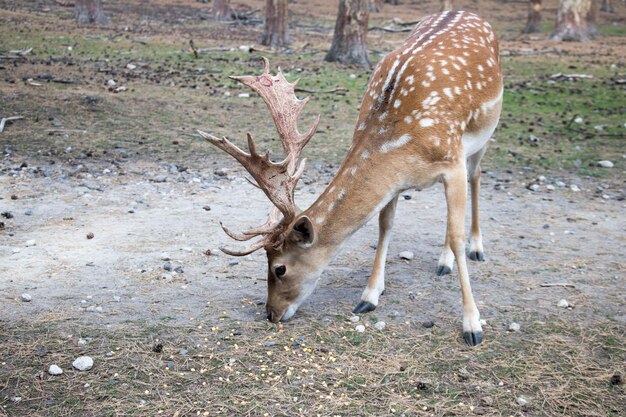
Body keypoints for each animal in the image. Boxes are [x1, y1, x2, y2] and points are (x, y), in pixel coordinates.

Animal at [200, 11, 502, 346]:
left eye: (280, 268)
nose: (270, 313)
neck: (402, 144)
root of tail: (470, 13)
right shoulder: (396, 182)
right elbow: (385, 226)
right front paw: (369, 296)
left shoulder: (452, 162)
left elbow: (457, 236)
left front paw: (472, 324)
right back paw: (443, 262)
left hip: (484, 134)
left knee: (476, 178)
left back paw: (476, 248)